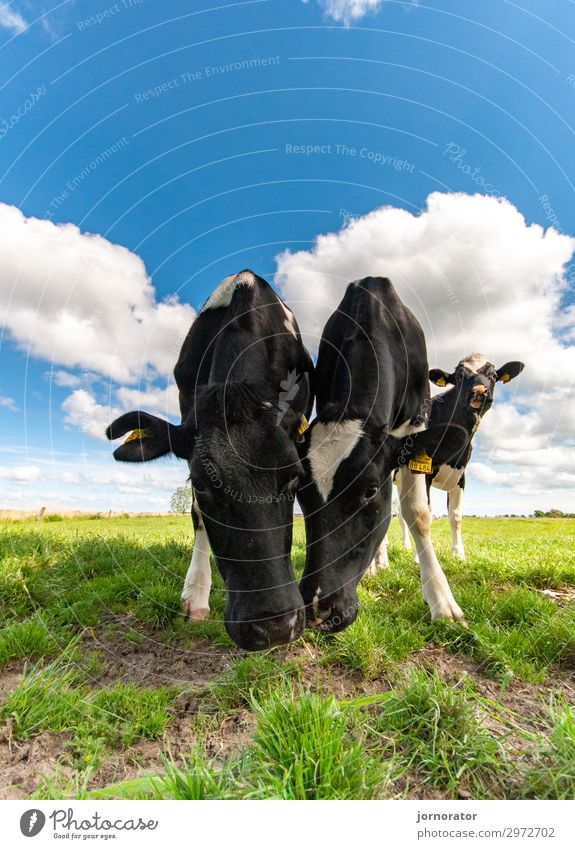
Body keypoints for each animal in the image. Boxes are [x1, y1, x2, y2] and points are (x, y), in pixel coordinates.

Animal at [296, 274, 468, 632]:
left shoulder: (415, 424)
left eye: (370, 490)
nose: (318, 612)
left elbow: (416, 513)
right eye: (300, 494)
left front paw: (442, 600)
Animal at [396, 354, 520, 560]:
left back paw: (404, 545)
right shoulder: (423, 472)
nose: (479, 391)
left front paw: (458, 553)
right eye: (460, 377)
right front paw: (419, 557)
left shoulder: (461, 475)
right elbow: (425, 512)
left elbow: (455, 515)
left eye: (494, 375)